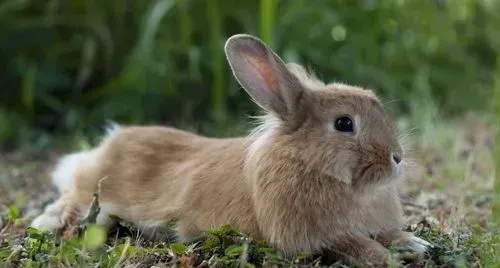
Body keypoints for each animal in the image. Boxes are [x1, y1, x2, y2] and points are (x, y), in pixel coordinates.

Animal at [31, 33, 430, 266]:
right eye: (344, 124)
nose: (397, 158)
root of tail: (104, 147)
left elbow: (385, 234)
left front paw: (414, 243)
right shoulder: (315, 236)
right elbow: (354, 245)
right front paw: (387, 257)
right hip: (93, 198)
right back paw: (45, 222)